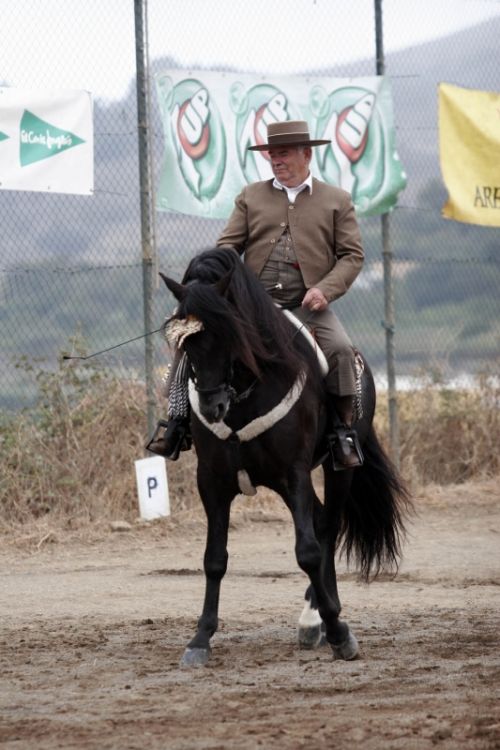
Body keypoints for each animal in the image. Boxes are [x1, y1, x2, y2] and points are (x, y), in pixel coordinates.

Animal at [161, 248, 410, 668]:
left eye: (228, 333)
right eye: (186, 344)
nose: (212, 407)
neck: (245, 393)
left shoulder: (294, 474)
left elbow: (307, 552)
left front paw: (339, 632)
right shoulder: (212, 481)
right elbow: (214, 558)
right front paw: (200, 638)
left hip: (338, 468)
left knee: (328, 527)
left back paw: (320, 617)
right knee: (323, 520)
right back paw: (319, 616)